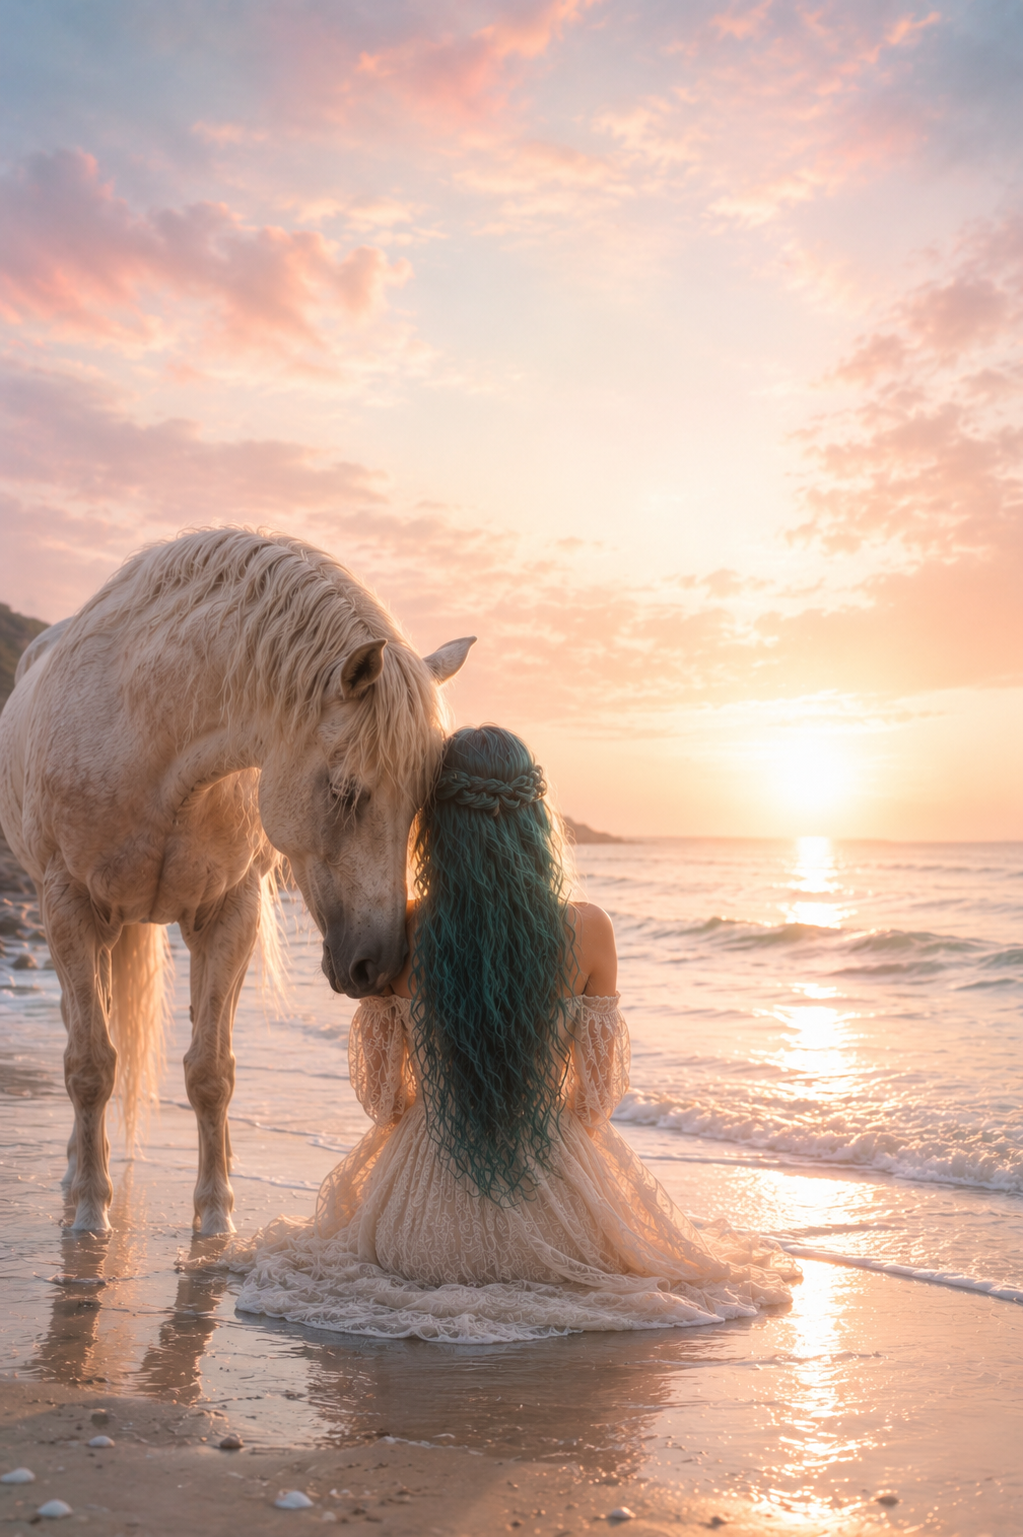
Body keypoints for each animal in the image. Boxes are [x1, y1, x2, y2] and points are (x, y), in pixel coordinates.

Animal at [0, 528, 473, 1235]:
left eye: (421, 801)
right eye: (344, 791)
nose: (380, 964)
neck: (150, 742)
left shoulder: (229, 914)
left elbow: (211, 1073)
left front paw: (216, 1219)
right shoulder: (70, 907)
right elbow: (89, 1066)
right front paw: (88, 1211)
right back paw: (73, 1178)